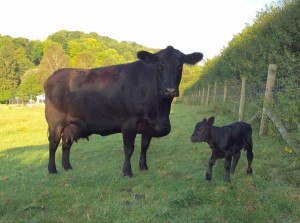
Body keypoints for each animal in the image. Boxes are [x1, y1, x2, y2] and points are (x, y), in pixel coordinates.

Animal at [44, 46, 204, 177]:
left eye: (180, 65)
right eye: (159, 65)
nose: (169, 90)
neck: (159, 111)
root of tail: (55, 74)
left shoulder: (149, 125)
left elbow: (145, 146)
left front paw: (143, 167)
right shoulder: (128, 122)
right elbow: (129, 148)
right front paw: (127, 172)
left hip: (72, 125)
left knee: (66, 143)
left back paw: (67, 167)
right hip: (55, 122)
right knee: (53, 144)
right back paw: (52, 170)